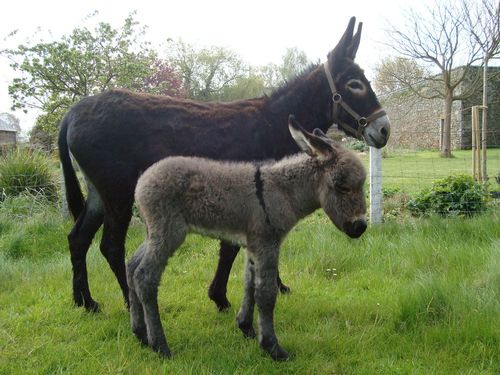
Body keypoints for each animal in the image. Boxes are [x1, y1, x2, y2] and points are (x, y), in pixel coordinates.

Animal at [126, 115, 368, 362]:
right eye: (341, 187)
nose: (360, 227)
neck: (284, 191)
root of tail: (142, 180)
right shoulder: (267, 243)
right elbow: (266, 294)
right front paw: (272, 348)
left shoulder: (253, 245)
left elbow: (249, 285)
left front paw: (246, 328)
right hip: (169, 233)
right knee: (145, 277)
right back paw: (160, 346)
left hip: (153, 233)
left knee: (131, 265)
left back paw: (140, 334)